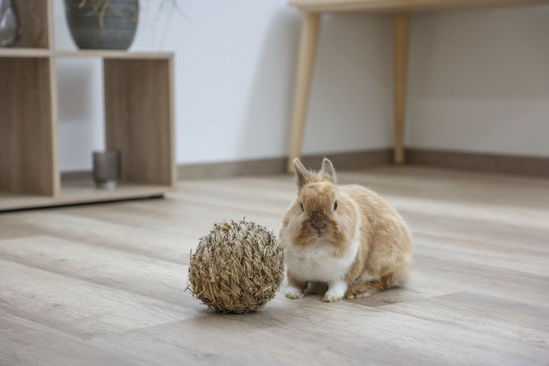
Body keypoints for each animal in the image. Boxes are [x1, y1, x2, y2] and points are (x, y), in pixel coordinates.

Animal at [278, 159, 412, 302]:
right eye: (301, 205)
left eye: (336, 204)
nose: (319, 225)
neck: (318, 244)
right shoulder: (295, 271)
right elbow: (295, 283)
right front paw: (292, 294)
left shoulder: (345, 271)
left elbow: (338, 285)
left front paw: (331, 297)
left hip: (382, 262)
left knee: (383, 282)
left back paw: (357, 292)